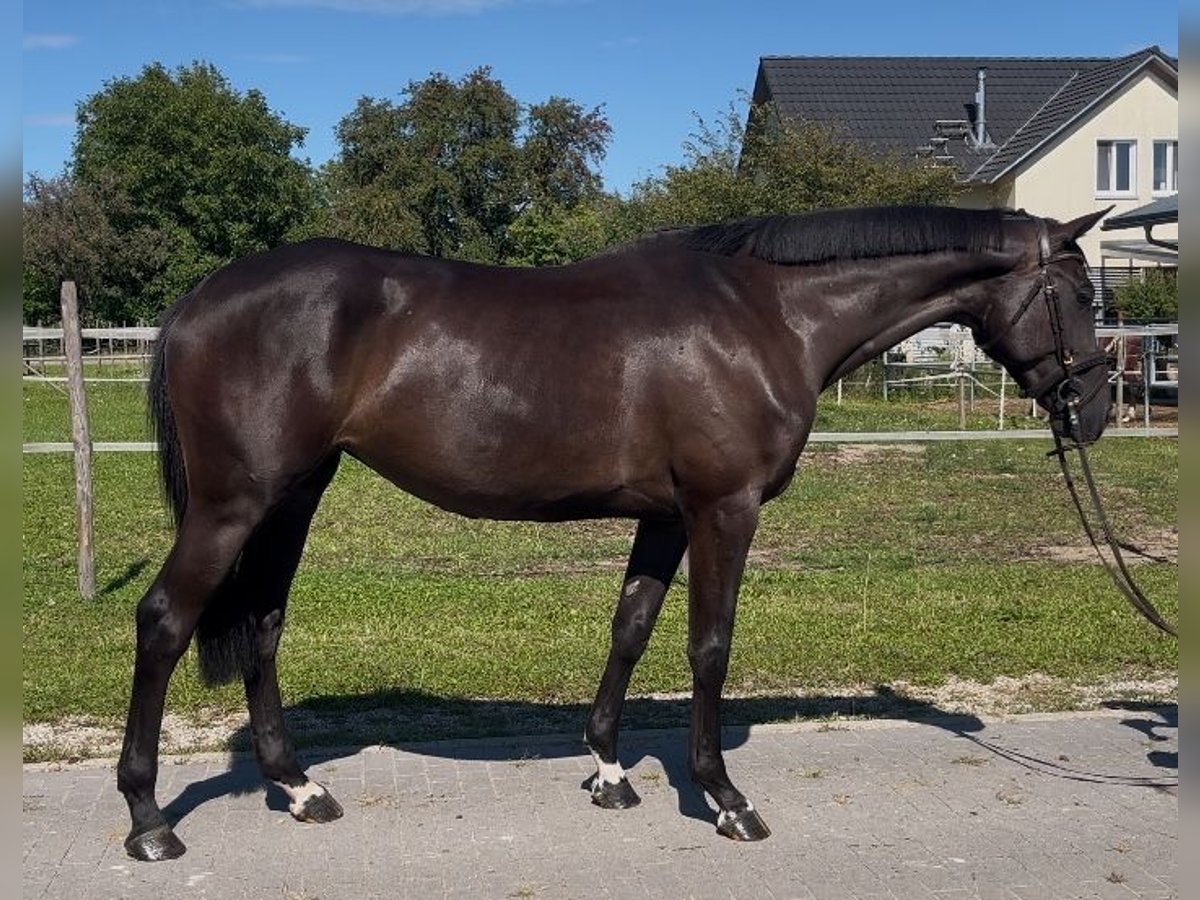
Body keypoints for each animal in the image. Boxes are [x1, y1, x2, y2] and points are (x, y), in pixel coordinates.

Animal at [119, 204, 1115, 861]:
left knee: (263, 624)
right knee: (164, 621)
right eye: (1078, 293)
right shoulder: (725, 509)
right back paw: (149, 821)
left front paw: (608, 770)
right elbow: (710, 646)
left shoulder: (666, 517)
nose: (1098, 409)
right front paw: (724, 799)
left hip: (294, 495)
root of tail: (201, 299)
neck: (765, 315)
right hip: (234, 504)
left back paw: (299, 787)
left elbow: (631, 628)